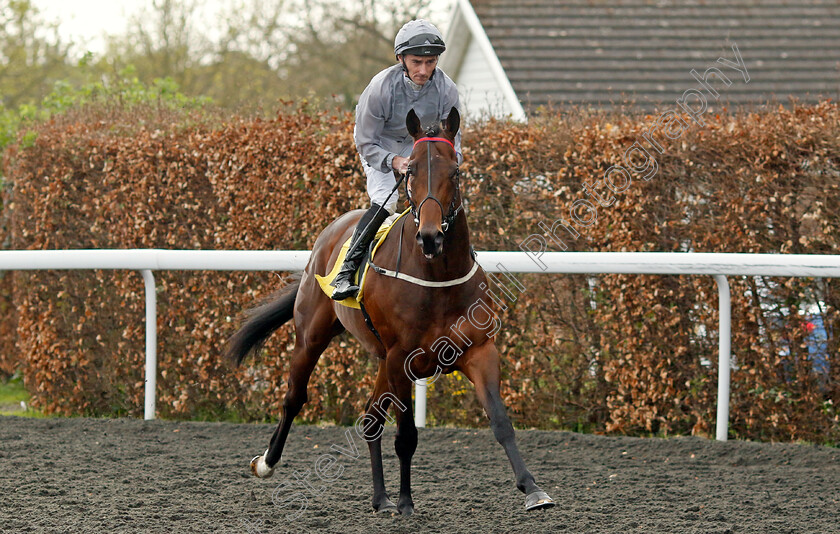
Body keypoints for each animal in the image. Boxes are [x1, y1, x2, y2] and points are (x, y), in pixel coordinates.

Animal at [228, 108, 556, 516]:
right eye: (411, 170)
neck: (436, 276)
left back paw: (380, 497)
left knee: (371, 418)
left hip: (381, 358)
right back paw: (267, 463)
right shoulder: (403, 358)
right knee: (294, 398)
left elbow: (500, 421)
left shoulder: (479, 351)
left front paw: (533, 489)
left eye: (455, 171)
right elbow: (407, 436)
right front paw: (406, 502)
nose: (430, 236)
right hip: (313, 336)